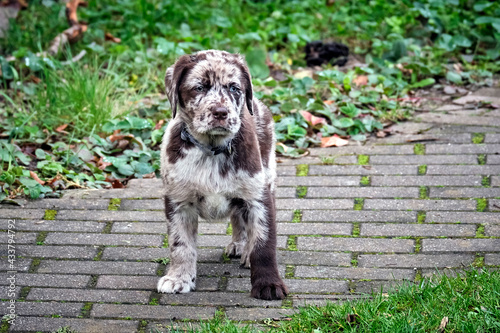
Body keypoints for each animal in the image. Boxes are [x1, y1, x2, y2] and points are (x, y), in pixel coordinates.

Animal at [156, 50, 290, 300]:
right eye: (199, 87)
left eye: (234, 88)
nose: (220, 112)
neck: (212, 149)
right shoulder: (178, 200)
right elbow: (180, 245)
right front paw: (178, 278)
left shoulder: (258, 195)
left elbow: (264, 243)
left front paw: (268, 284)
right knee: (238, 217)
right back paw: (239, 245)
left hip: (268, 173)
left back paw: (246, 251)